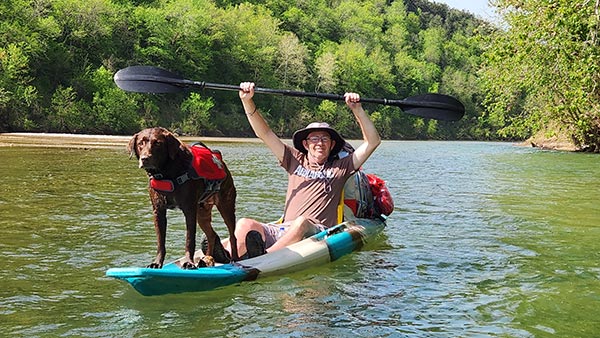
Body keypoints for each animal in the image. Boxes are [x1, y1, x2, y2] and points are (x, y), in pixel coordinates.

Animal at [127, 127, 238, 270]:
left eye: (157, 143)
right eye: (141, 143)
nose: (145, 159)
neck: (167, 172)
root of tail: (221, 161)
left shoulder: (189, 210)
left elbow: (189, 240)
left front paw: (189, 262)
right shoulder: (158, 211)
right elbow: (160, 242)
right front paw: (157, 263)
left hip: (226, 205)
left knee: (232, 236)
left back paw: (234, 260)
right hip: (202, 212)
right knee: (212, 235)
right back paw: (206, 260)